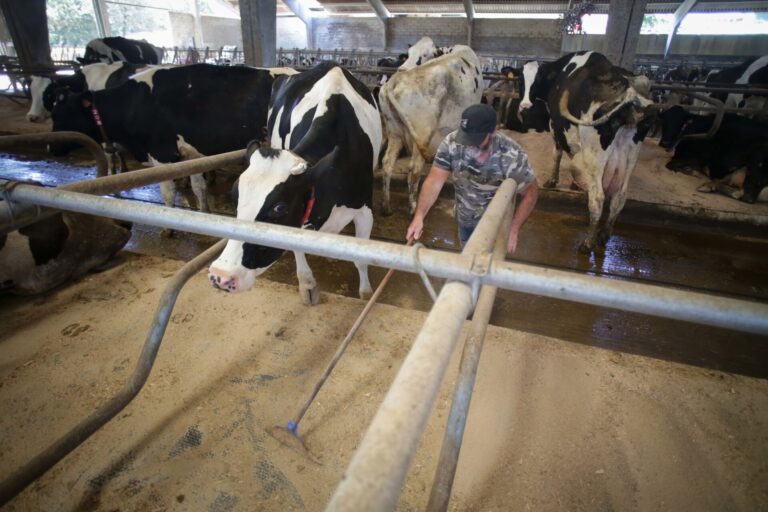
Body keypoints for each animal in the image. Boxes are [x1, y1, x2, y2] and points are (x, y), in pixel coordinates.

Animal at [51, 64, 296, 216]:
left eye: (63, 114)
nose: (51, 148)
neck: (133, 104)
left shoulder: (161, 154)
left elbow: (167, 192)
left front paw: (168, 227)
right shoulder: (193, 156)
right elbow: (198, 188)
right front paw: (204, 212)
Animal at [207, 63, 380, 304]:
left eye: (279, 207)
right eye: (235, 197)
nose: (221, 276)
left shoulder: (365, 209)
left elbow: (362, 259)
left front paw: (365, 294)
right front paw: (308, 286)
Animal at [516, 51, 656, 253]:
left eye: (537, 79)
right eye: (520, 79)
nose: (525, 106)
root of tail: (630, 94)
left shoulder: (556, 127)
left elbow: (558, 153)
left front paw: (553, 181)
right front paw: (575, 185)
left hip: (594, 154)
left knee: (598, 198)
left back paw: (588, 242)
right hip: (631, 156)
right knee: (619, 197)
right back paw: (604, 234)